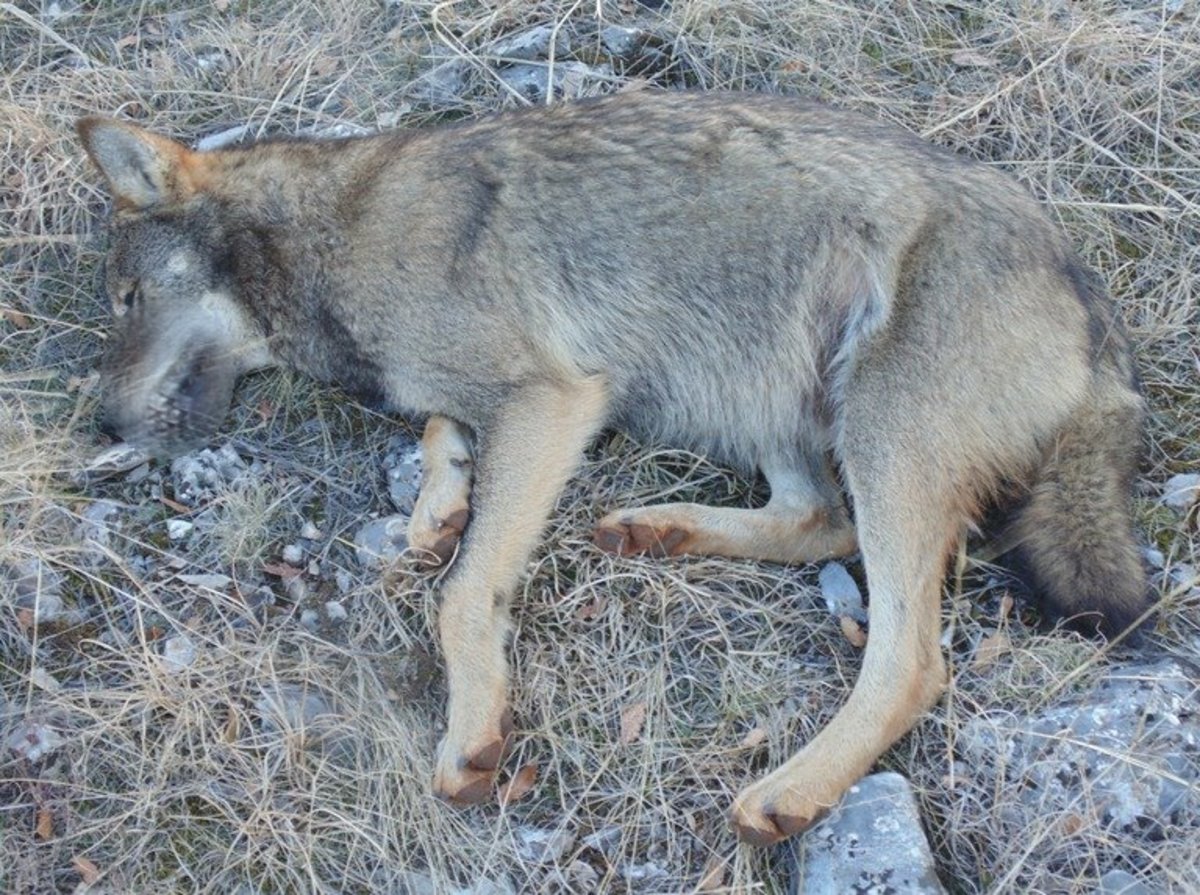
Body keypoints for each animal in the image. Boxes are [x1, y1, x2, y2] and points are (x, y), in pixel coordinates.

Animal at [79, 92, 1147, 844]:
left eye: (127, 298)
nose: (99, 421)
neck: (327, 229)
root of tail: (1096, 314)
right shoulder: (504, 398)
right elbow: (436, 435)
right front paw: (435, 506)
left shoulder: (554, 398)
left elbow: (462, 594)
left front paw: (473, 733)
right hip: (758, 381)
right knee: (817, 518)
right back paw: (654, 528)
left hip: (873, 428)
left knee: (908, 658)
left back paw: (785, 796)